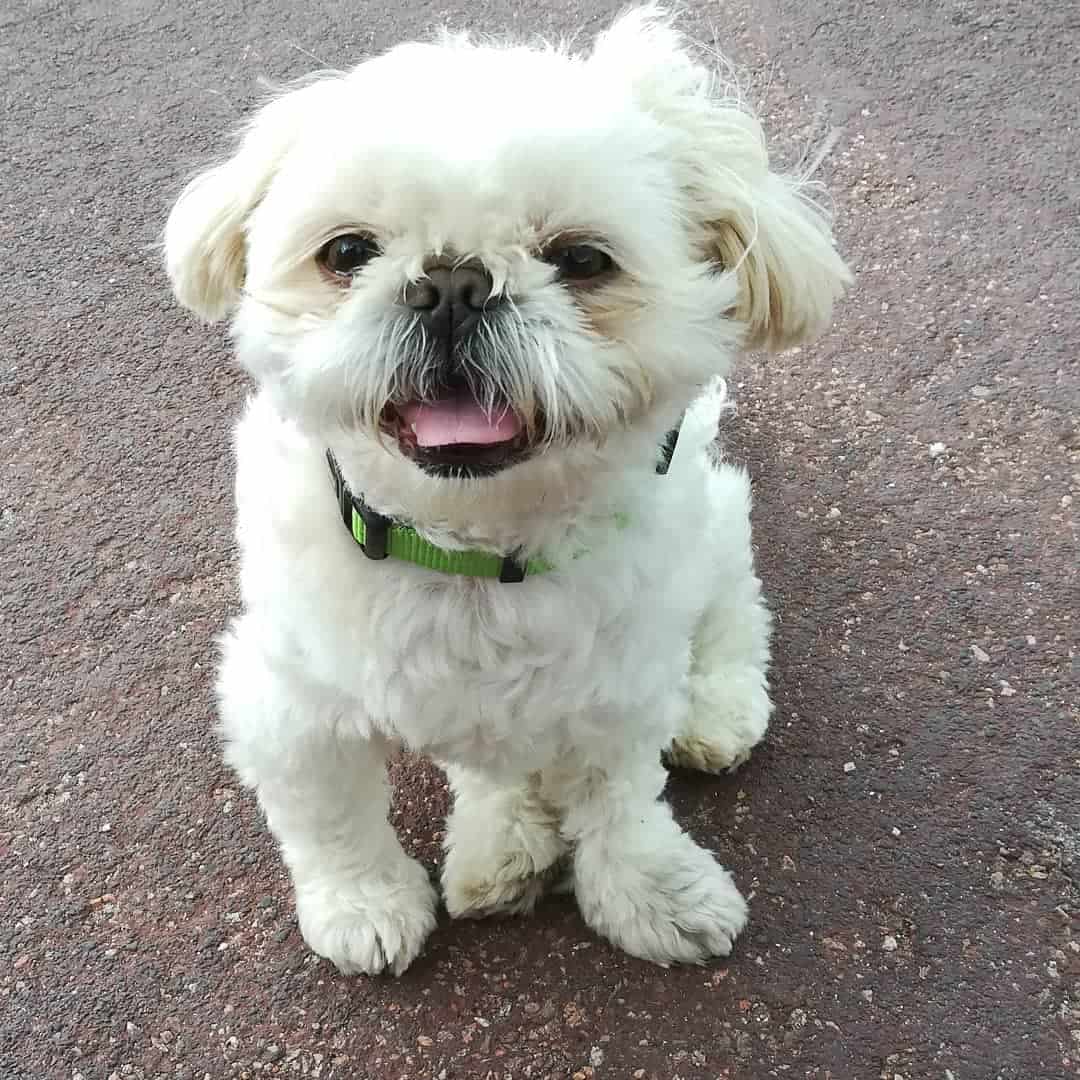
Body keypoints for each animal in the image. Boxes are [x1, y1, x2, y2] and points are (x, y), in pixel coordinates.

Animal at [164, 4, 846, 976]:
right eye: (347, 252)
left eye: (583, 260)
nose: (452, 282)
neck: (472, 559)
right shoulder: (290, 706)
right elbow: (333, 820)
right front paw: (364, 906)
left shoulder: (621, 688)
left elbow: (622, 803)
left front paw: (652, 893)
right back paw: (500, 848)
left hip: (709, 532)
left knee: (732, 609)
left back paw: (713, 711)